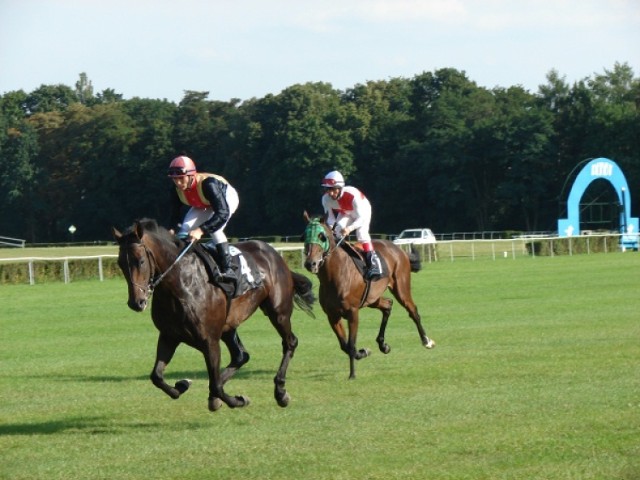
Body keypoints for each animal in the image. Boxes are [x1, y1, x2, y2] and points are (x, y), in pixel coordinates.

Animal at [115, 219, 318, 410]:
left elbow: (216, 385)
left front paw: (238, 400)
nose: (136, 302)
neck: (181, 283)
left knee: (289, 342)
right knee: (240, 356)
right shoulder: (169, 335)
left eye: (140, 261)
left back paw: (280, 392)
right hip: (229, 325)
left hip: (278, 312)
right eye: (120, 263)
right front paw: (182, 385)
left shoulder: (209, 340)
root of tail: (273, 253)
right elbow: (156, 376)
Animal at [302, 213, 436, 378]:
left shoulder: (353, 312)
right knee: (388, 305)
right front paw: (363, 352)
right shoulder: (332, 315)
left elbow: (351, 344)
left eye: (322, 236)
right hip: (373, 298)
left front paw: (352, 374)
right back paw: (383, 344)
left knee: (413, 311)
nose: (310, 263)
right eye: (304, 236)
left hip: (401, 288)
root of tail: (398, 250)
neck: (334, 275)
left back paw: (426, 341)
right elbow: (344, 345)